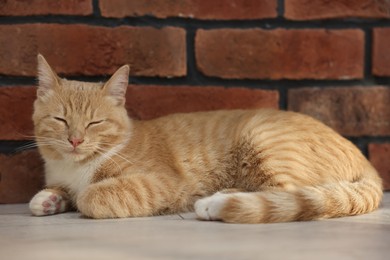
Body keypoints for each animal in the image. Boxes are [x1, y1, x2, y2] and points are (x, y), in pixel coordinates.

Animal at [29, 54, 382, 223]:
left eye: (95, 123)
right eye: (60, 120)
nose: (75, 140)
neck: (76, 168)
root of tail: (364, 160)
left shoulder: (161, 183)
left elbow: (92, 195)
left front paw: (80, 197)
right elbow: (51, 194)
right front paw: (48, 199)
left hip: (264, 140)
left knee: (288, 192)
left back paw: (217, 201)